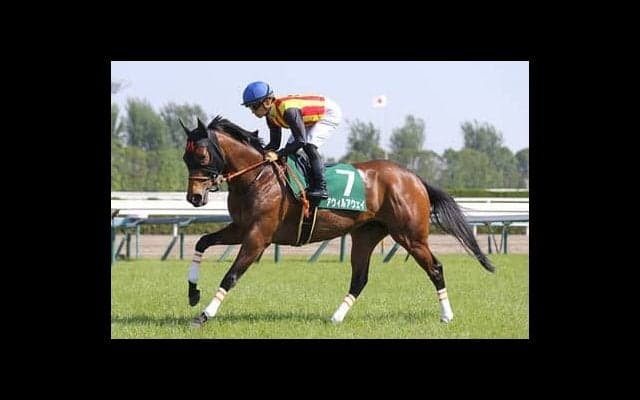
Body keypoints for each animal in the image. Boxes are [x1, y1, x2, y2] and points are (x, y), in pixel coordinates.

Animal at [181, 116, 495, 328]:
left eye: (202, 155)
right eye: (185, 157)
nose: (194, 197)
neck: (257, 178)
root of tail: (413, 177)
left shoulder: (259, 236)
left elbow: (231, 275)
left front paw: (204, 315)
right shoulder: (241, 228)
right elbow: (202, 242)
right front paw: (193, 293)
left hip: (411, 236)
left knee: (435, 267)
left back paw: (447, 315)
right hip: (366, 235)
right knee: (360, 278)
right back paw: (336, 317)